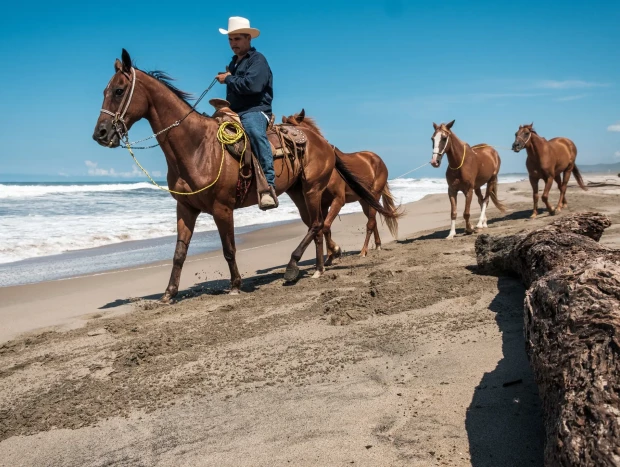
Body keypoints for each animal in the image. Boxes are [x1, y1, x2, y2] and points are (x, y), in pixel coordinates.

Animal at [282, 108, 400, 266]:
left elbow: (325, 226)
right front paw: (330, 256)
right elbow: (325, 228)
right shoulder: (323, 204)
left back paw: (363, 251)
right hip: (364, 201)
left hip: (374, 195)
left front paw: (334, 252)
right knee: (373, 221)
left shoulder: (338, 200)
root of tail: (377, 159)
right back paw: (377, 245)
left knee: (370, 223)